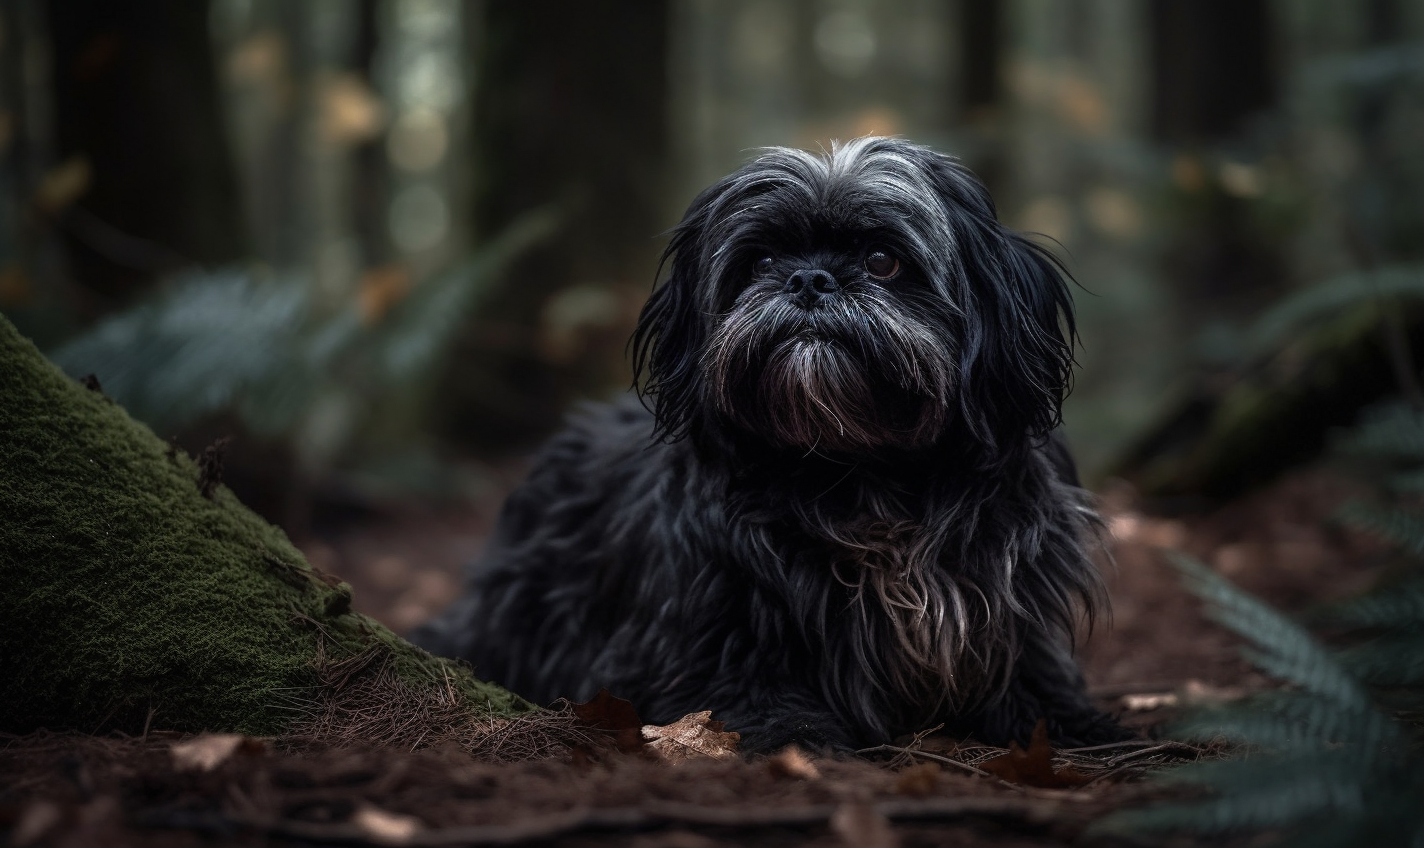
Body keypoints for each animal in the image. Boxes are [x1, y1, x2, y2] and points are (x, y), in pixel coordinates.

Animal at [412, 137, 1122, 751]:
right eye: (761, 263)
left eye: (883, 260)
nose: (809, 280)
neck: (860, 472)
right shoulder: (705, 622)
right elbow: (740, 685)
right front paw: (793, 731)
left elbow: (1025, 660)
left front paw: (1063, 718)